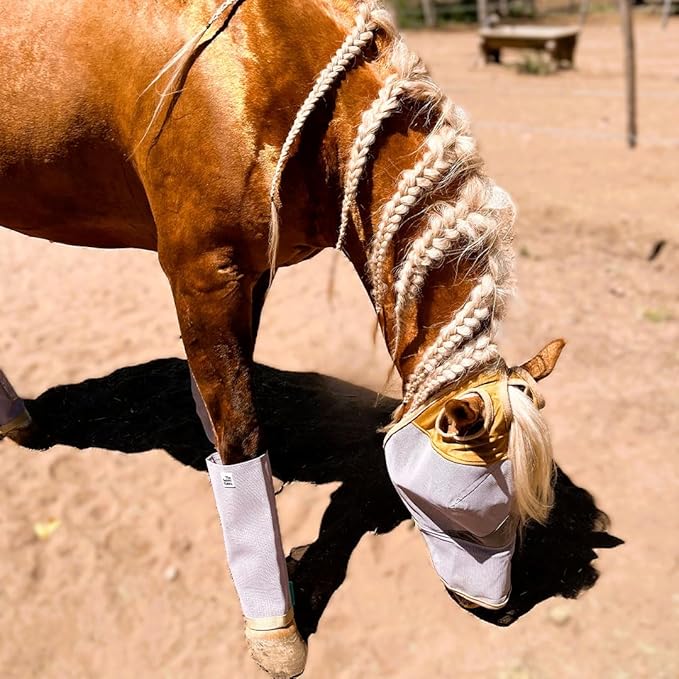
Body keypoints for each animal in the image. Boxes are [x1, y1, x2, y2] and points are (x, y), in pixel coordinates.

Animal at [0, 1, 564, 676]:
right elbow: (242, 435)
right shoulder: (202, 272)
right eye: (473, 512)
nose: (502, 612)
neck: (269, 63)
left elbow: (228, 389)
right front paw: (276, 629)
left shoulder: (254, 271)